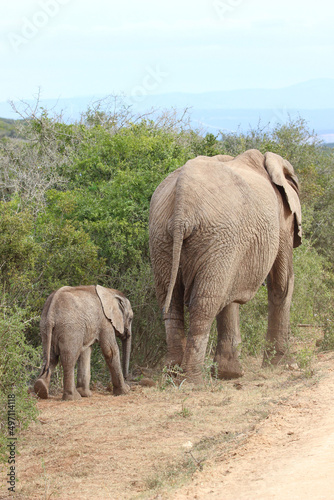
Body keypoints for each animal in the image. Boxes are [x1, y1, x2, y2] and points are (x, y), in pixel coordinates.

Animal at [150, 148, 302, 382]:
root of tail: (182, 197)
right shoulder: (281, 218)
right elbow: (281, 284)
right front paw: (285, 365)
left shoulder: (233, 246)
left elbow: (230, 296)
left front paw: (229, 374)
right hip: (216, 236)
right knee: (205, 304)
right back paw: (194, 380)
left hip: (164, 237)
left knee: (172, 302)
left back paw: (172, 373)